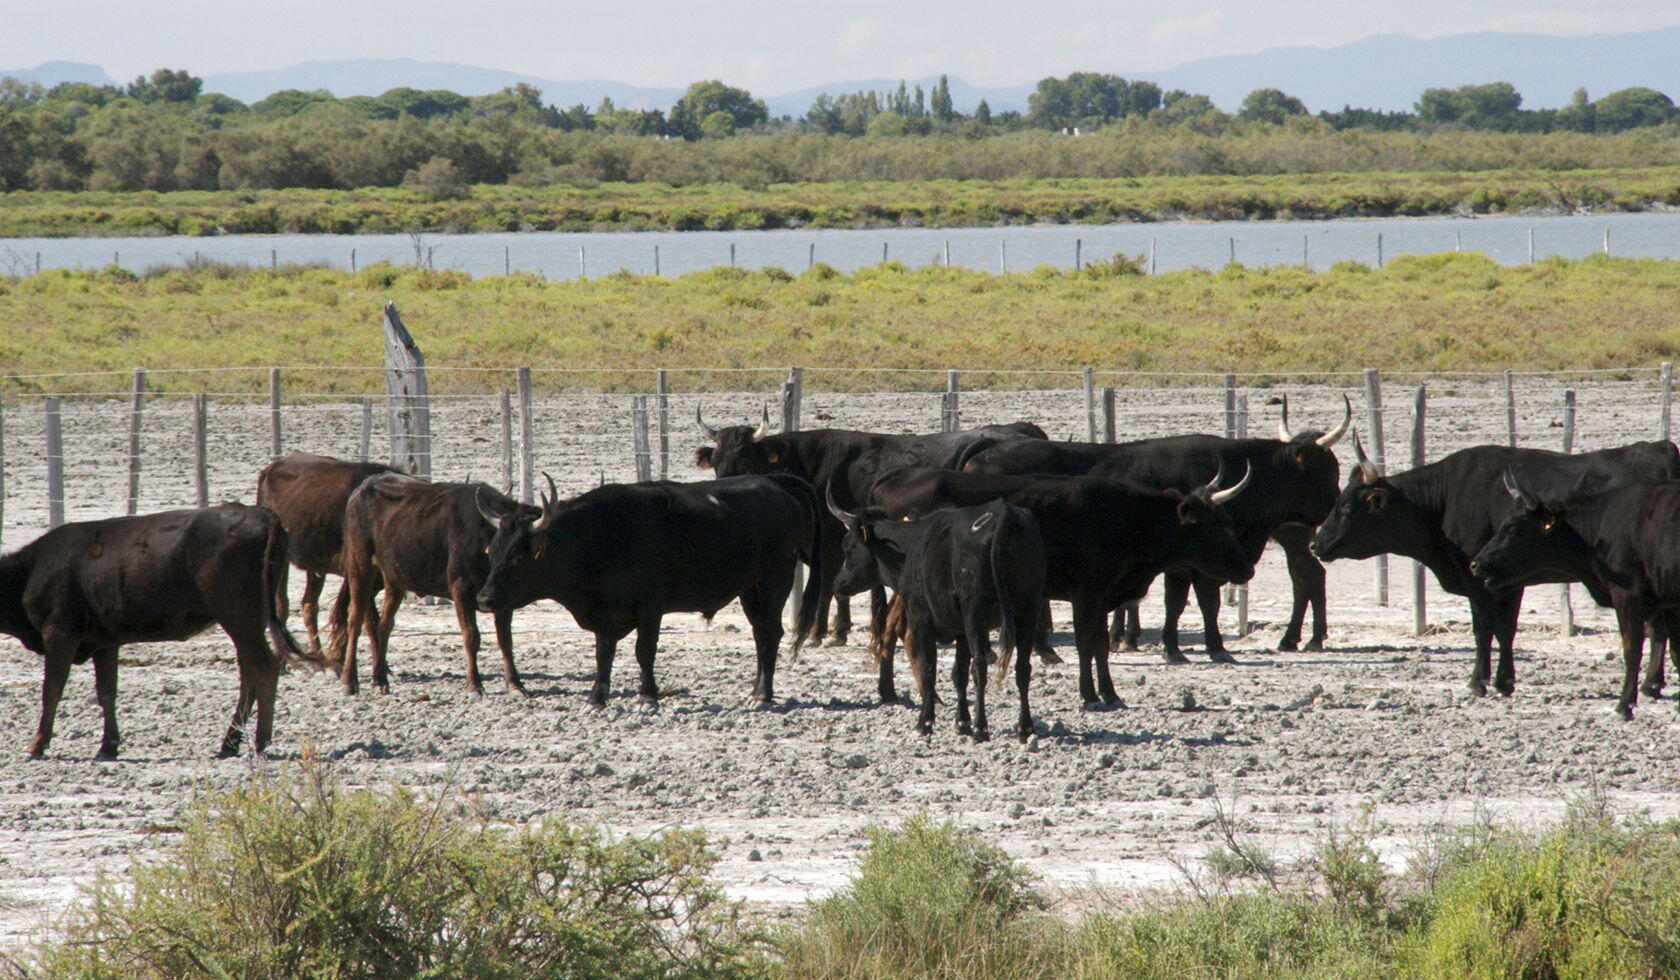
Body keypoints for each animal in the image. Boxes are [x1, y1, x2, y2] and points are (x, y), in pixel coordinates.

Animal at [0, 500, 305, 763]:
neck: (33, 569)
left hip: (238, 617)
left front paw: (37, 744)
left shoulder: (59, 634)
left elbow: (52, 689)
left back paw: (259, 742)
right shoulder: (105, 642)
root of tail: (258, 512)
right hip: (247, 622)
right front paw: (108, 746)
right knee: (249, 673)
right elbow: (106, 692)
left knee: (264, 666)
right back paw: (229, 743)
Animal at [336, 474, 530, 699]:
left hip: (393, 579)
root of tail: (364, 486)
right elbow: (471, 636)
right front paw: (475, 685)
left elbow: (505, 640)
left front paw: (515, 684)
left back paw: (380, 680)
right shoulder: (461, 589)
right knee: (355, 622)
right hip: (360, 567)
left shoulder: (502, 600)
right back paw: (349, 682)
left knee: (383, 625)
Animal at [688, 410, 1041, 648]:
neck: (812, 466)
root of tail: (1024, 428)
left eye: (745, 463)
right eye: (717, 464)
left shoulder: (829, 542)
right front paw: (840, 629)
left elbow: (829, 587)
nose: (728, 494)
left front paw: (820, 632)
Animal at [954, 403, 1344, 662]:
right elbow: (1200, 601)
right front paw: (1212, 648)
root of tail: (987, 449)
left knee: (1306, 573)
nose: (1335, 511)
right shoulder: (1197, 563)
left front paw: (1171, 646)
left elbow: (1178, 602)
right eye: (1328, 470)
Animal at [1310, 437, 1680, 699]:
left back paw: (1650, 684)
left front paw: (1478, 681)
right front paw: (1505, 680)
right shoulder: (1504, 579)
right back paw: (1652, 683)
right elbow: (1506, 629)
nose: (1315, 544)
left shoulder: (1477, 575)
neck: (1447, 495)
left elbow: (1483, 627)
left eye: (1346, 507)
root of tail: (1658, 448)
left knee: (1656, 629)